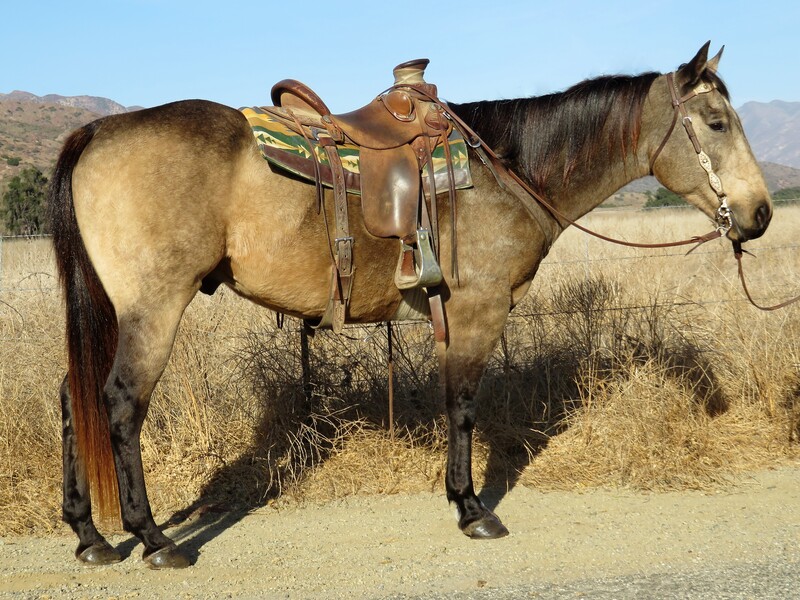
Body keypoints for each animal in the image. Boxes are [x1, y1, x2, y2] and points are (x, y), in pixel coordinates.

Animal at [48, 43, 768, 568]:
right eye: (715, 122)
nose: (759, 213)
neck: (508, 170)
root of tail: (100, 129)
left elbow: (457, 404)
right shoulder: (478, 312)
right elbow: (464, 406)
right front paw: (471, 508)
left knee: (74, 398)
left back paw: (91, 537)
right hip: (153, 308)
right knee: (119, 403)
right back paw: (154, 540)